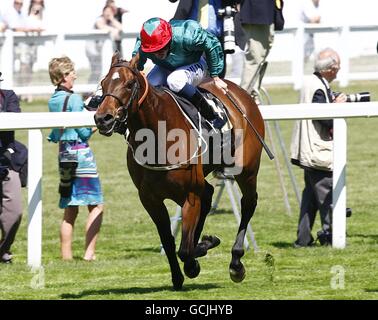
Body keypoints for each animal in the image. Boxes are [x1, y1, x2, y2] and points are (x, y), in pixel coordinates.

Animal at [94, 52, 264, 290]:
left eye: (128, 84)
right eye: (103, 83)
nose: (103, 118)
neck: (158, 136)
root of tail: (241, 93)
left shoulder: (189, 195)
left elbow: (184, 249)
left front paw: (193, 263)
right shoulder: (150, 199)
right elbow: (168, 240)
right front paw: (179, 274)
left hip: (246, 170)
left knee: (248, 202)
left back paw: (236, 262)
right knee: (209, 194)